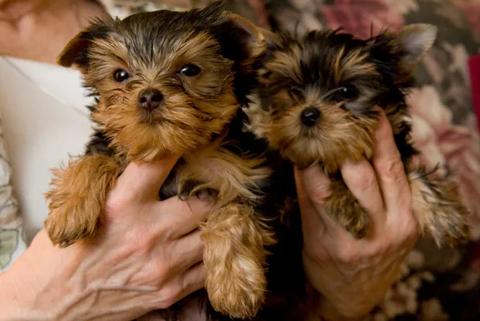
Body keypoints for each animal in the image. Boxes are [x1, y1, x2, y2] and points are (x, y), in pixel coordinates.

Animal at [46, 2, 278, 318]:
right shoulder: (113, 148)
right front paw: (70, 211)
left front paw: (235, 286)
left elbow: (233, 214)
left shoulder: (243, 174)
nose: (148, 96)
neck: (168, 150)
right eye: (120, 75)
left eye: (190, 70)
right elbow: (94, 159)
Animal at [246, 24, 470, 245]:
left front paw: (444, 214)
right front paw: (350, 206)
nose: (308, 114)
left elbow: (412, 174)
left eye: (347, 91)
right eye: (292, 90)